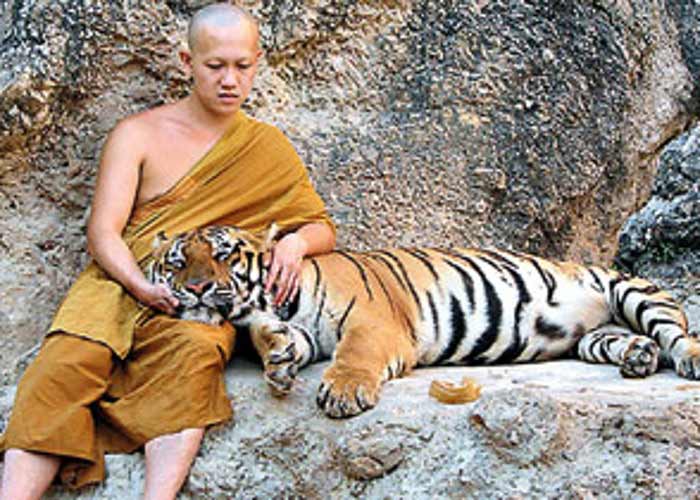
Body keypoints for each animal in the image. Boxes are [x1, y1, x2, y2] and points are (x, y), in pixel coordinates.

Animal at [149, 224, 700, 418]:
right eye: (177, 263)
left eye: (222, 255)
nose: (194, 288)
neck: (267, 299)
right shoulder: (302, 330)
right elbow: (283, 343)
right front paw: (278, 361)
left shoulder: (374, 323)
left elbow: (355, 354)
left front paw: (344, 392)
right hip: (593, 335)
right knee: (623, 341)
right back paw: (638, 355)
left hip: (631, 290)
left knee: (676, 330)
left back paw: (685, 356)